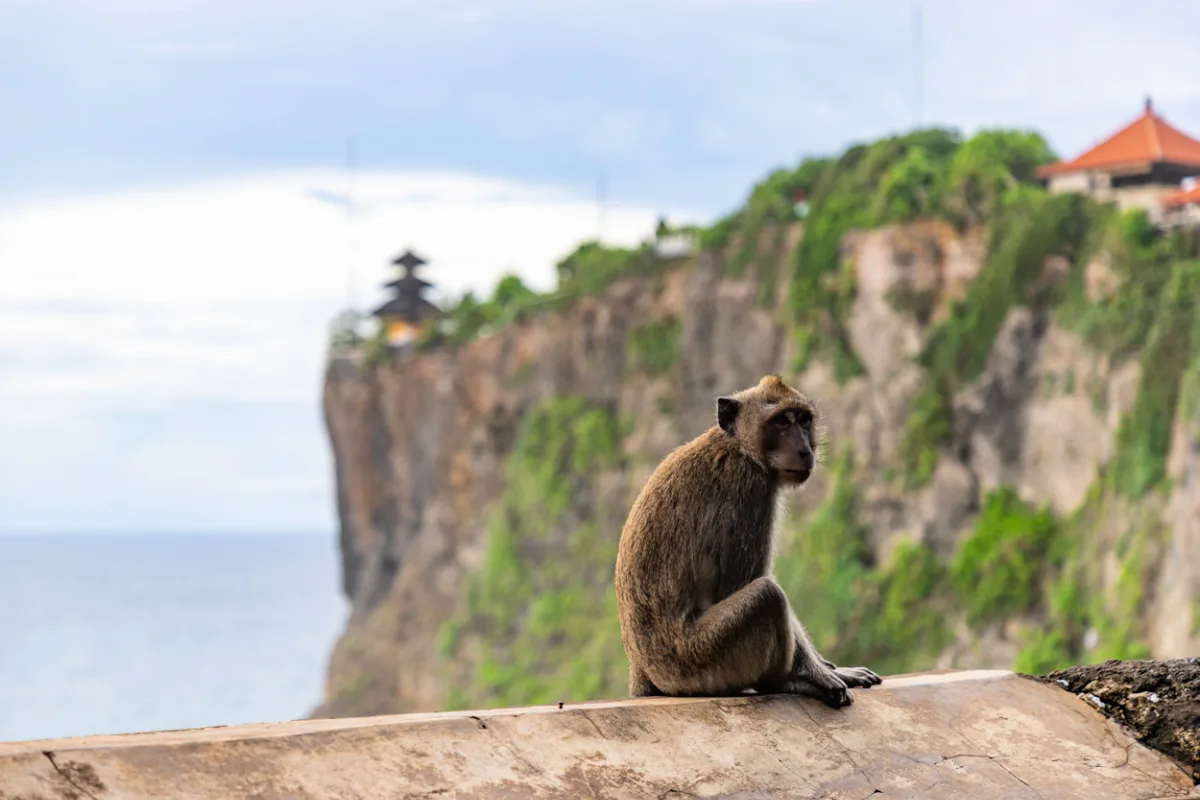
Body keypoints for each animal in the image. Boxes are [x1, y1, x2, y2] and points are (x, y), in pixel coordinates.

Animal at [614, 374, 882, 709]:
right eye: (781, 422)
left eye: (804, 421)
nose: (805, 450)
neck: (738, 446)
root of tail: (643, 673)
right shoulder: (750, 490)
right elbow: (741, 582)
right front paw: (816, 672)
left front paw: (832, 668)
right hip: (700, 660)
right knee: (767, 595)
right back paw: (783, 681)